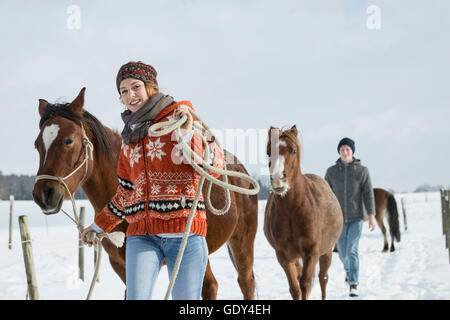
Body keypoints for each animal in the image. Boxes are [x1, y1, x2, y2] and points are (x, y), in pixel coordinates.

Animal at [32, 88, 256, 300]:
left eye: (69, 141)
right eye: (36, 145)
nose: (43, 194)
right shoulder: (123, 267)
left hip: (241, 243)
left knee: (246, 283)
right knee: (210, 286)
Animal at [264, 125, 342, 300]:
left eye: (293, 151)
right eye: (269, 152)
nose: (278, 179)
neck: (293, 211)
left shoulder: (312, 253)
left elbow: (305, 284)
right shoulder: (284, 256)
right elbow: (295, 288)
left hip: (327, 251)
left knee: (323, 278)